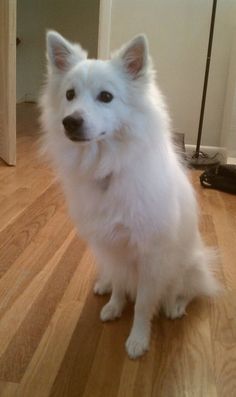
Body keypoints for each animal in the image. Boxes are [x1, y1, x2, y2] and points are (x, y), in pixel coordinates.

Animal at [40, 31, 219, 358]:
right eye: (70, 95)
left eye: (106, 97)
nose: (70, 121)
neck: (108, 167)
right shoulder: (111, 247)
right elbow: (122, 284)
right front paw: (114, 305)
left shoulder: (150, 255)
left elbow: (144, 305)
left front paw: (138, 339)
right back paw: (104, 284)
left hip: (186, 265)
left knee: (189, 290)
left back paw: (175, 305)